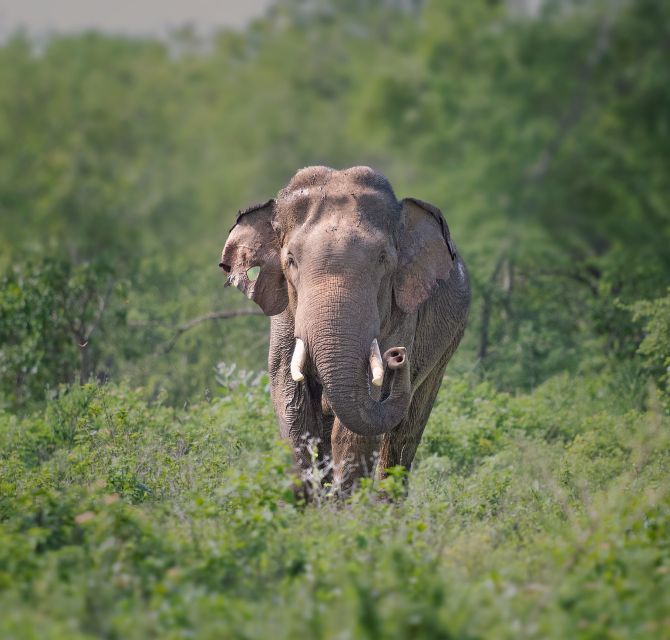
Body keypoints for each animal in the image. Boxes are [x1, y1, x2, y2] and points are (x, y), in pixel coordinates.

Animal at [220, 166, 472, 496]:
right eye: (291, 260)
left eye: (383, 259)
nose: (397, 356)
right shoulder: (285, 314)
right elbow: (289, 393)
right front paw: (309, 498)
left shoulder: (400, 315)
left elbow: (360, 416)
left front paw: (344, 502)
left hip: (447, 347)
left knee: (407, 429)